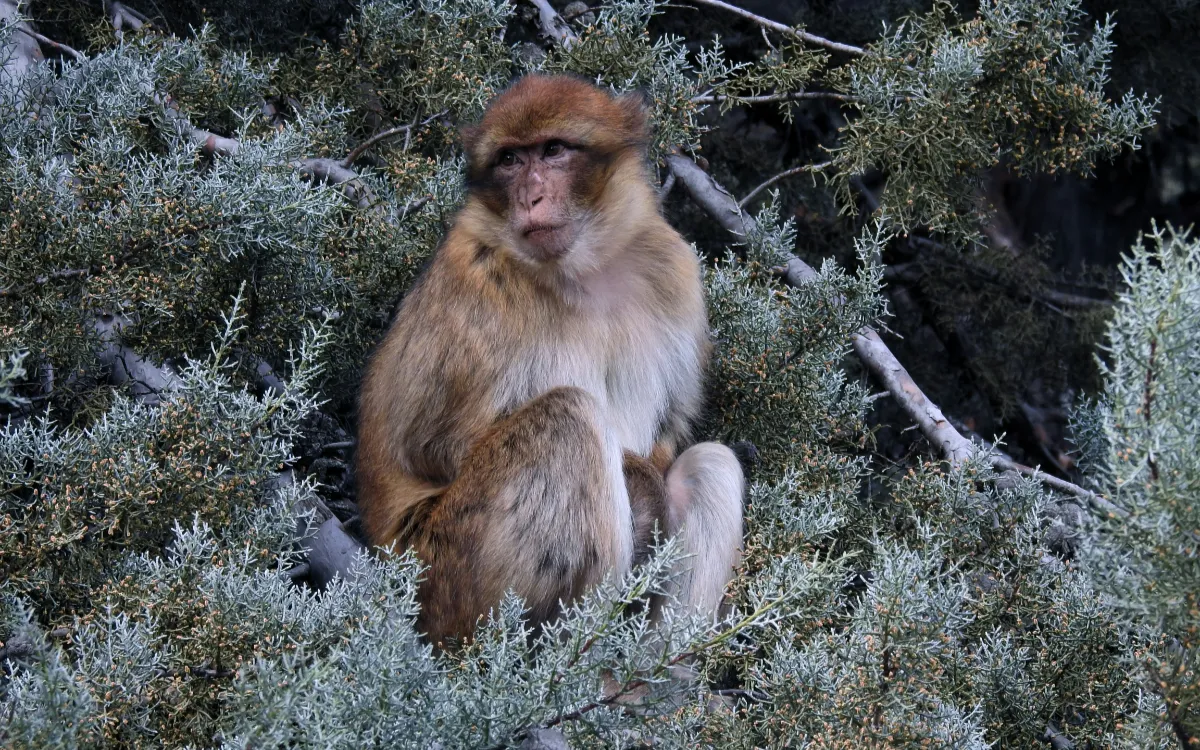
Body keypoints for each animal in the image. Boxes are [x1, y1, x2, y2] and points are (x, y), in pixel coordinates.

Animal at [355, 74, 744, 647]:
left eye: (554, 150)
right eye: (510, 160)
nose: (531, 196)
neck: (584, 271)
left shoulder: (673, 267)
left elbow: (669, 434)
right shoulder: (476, 282)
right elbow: (432, 448)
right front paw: (642, 489)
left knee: (710, 465)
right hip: (445, 575)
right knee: (569, 417)